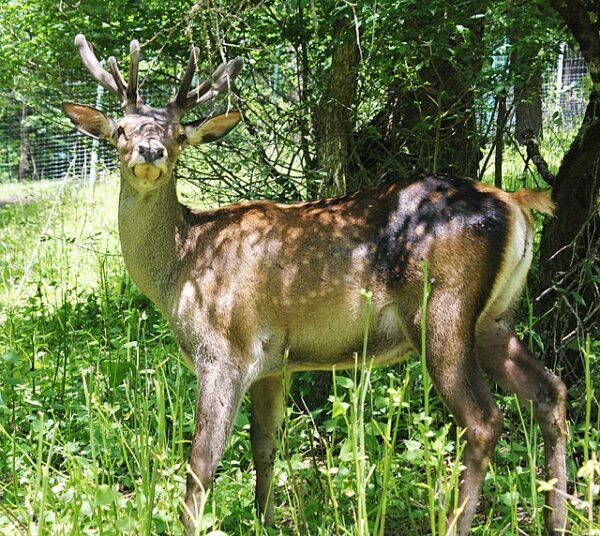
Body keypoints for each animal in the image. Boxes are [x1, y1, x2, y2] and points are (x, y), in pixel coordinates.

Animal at [63, 34, 568, 536]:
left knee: (483, 419)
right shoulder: (273, 365)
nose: (151, 152)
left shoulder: (223, 349)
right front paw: (266, 521)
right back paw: (556, 520)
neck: (182, 265)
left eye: (179, 135)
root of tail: (516, 203)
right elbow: (264, 445)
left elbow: (201, 463)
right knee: (551, 390)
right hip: (493, 318)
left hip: (440, 308)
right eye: (121, 130)